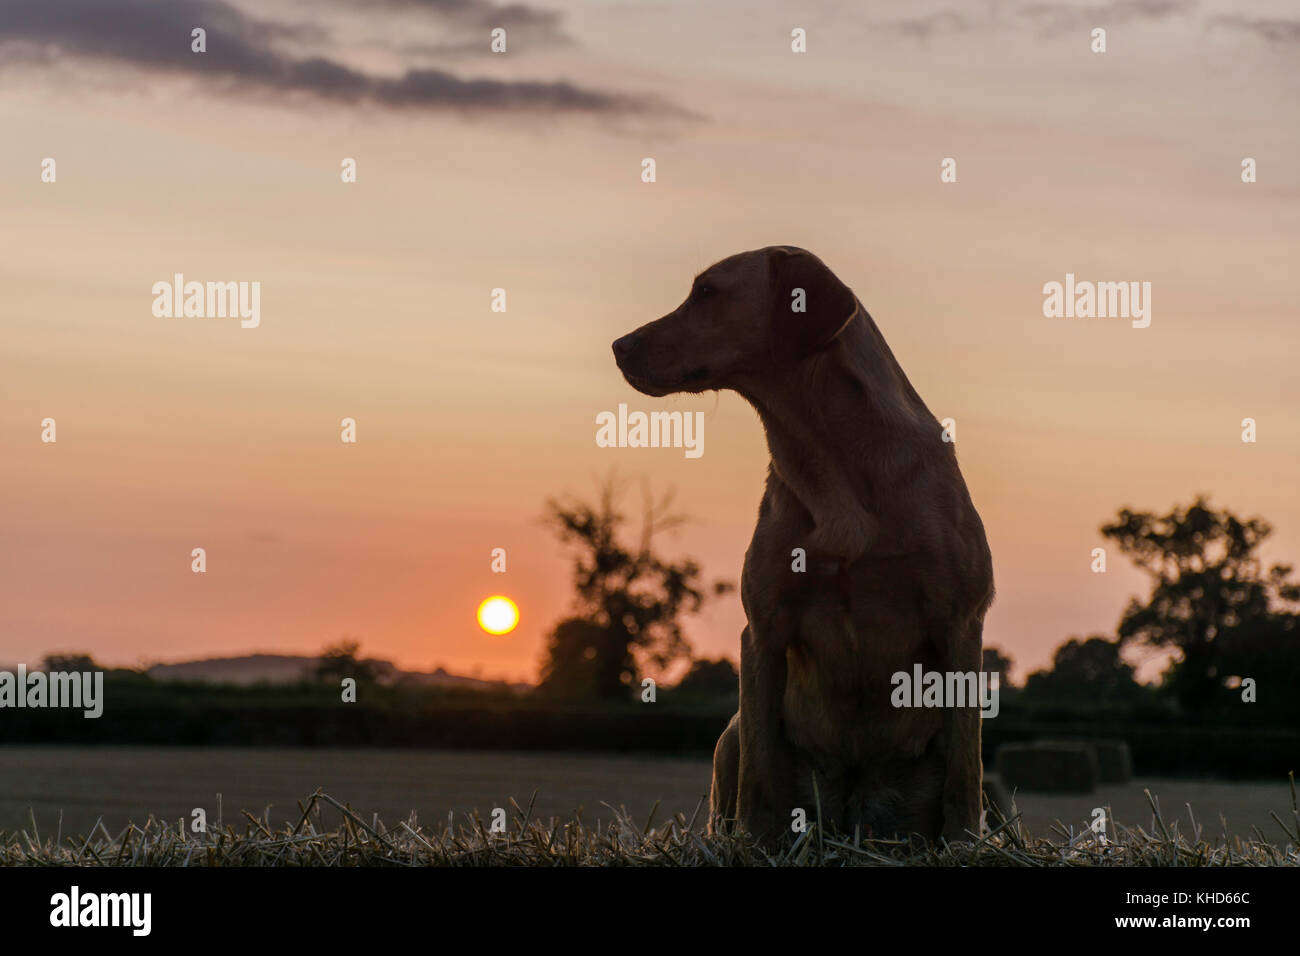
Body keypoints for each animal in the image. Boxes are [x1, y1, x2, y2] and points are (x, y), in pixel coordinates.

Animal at [608, 247, 993, 842]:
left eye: (707, 292)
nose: (619, 346)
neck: (832, 463)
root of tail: (853, 808)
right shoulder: (763, 629)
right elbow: (759, 774)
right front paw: (751, 841)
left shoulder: (960, 623)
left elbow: (963, 775)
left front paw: (964, 843)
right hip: (730, 736)